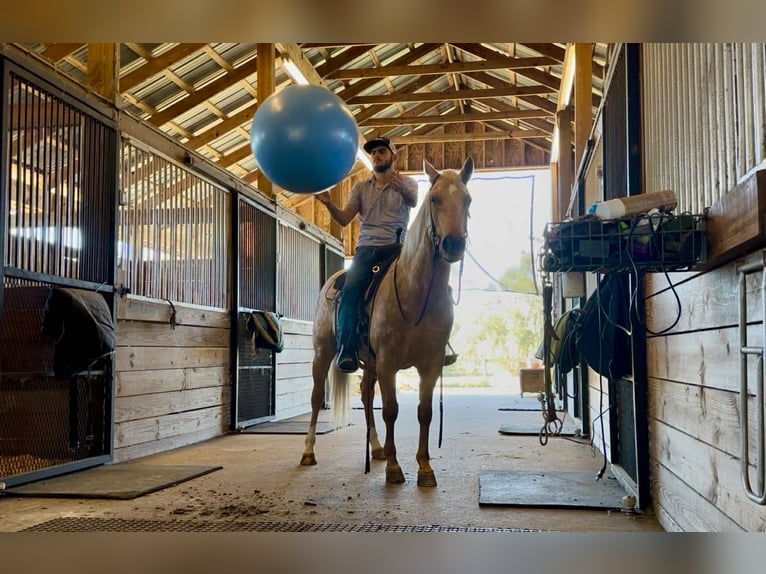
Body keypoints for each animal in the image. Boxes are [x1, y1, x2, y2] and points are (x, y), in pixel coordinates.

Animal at [300, 157, 474, 487]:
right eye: (435, 199)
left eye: (467, 200)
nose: (453, 245)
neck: (414, 293)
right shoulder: (389, 363)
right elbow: (391, 410)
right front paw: (395, 468)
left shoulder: (430, 364)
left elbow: (424, 412)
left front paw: (424, 468)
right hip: (323, 353)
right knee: (316, 398)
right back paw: (308, 451)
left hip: (369, 364)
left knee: (367, 397)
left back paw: (377, 448)